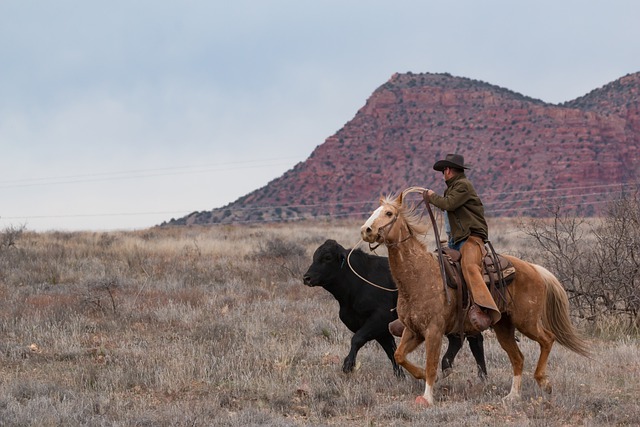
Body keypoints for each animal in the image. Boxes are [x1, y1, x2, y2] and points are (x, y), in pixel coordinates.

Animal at [360, 191, 592, 408]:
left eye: (389, 213)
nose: (366, 230)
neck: (419, 275)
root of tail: (534, 268)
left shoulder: (434, 330)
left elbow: (431, 364)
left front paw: (427, 397)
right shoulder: (413, 330)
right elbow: (400, 355)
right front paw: (420, 375)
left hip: (526, 321)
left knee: (547, 339)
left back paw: (544, 381)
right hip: (503, 327)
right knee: (518, 357)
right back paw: (513, 396)